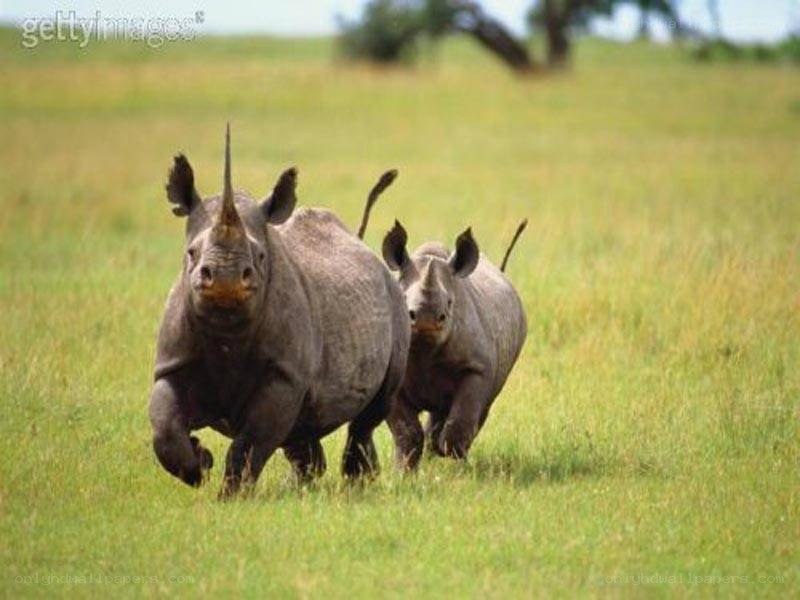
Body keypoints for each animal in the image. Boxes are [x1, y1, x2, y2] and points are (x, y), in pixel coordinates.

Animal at [148, 126, 409, 496]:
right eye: (191, 253)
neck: (226, 324)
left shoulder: (284, 375)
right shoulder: (172, 364)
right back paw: (303, 485)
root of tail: (364, 247)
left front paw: (231, 495)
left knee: (371, 412)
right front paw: (200, 466)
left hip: (394, 301)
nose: (225, 277)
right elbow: (164, 428)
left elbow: (251, 443)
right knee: (303, 427)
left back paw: (356, 483)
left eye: (260, 256)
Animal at [380, 219, 528, 469]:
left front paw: (456, 464)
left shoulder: (476, 367)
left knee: (480, 408)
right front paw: (403, 471)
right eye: (402, 300)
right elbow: (406, 431)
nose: (427, 319)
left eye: (449, 303)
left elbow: (461, 422)